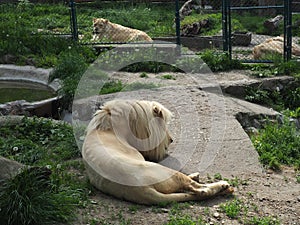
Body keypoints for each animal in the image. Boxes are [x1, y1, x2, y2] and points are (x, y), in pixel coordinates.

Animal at [82, 99, 234, 205]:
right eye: (163, 125)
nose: (171, 140)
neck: (108, 129)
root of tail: (142, 190)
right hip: (167, 172)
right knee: (200, 190)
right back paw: (224, 186)